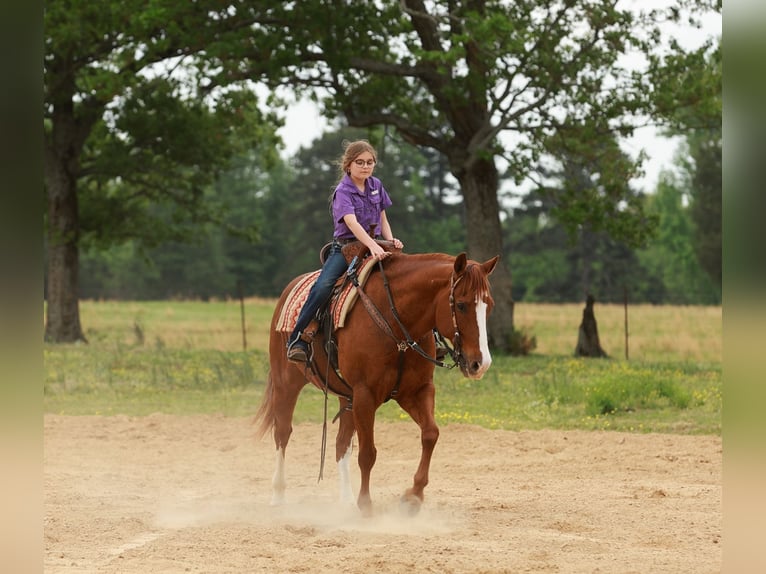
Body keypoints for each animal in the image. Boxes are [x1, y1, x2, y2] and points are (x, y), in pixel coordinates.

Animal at [253, 249, 499, 517]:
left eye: (489, 306)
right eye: (462, 305)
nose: (480, 364)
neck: (396, 323)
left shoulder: (417, 391)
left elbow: (430, 434)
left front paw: (413, 497)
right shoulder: (365, 394)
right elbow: (368, 453)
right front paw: (366, 505)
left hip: (346, 396)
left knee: (341, 443)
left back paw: (346, 500)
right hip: (286, 383)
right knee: (282, 432)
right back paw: (278, 495)